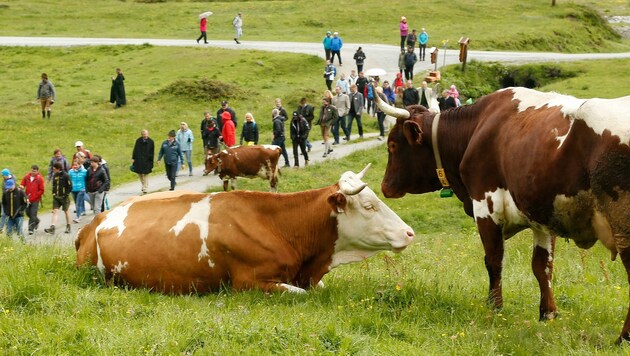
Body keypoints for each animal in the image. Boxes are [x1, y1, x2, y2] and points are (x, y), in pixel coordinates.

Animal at [378, 85, 630, 342]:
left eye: (393, 145)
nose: (385, 186)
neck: (477, 129)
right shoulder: (542, 214)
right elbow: (542, 266)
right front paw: (547, 313)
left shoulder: (486, 206)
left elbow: (493, 260)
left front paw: (494, 307)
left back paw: (624, 337)